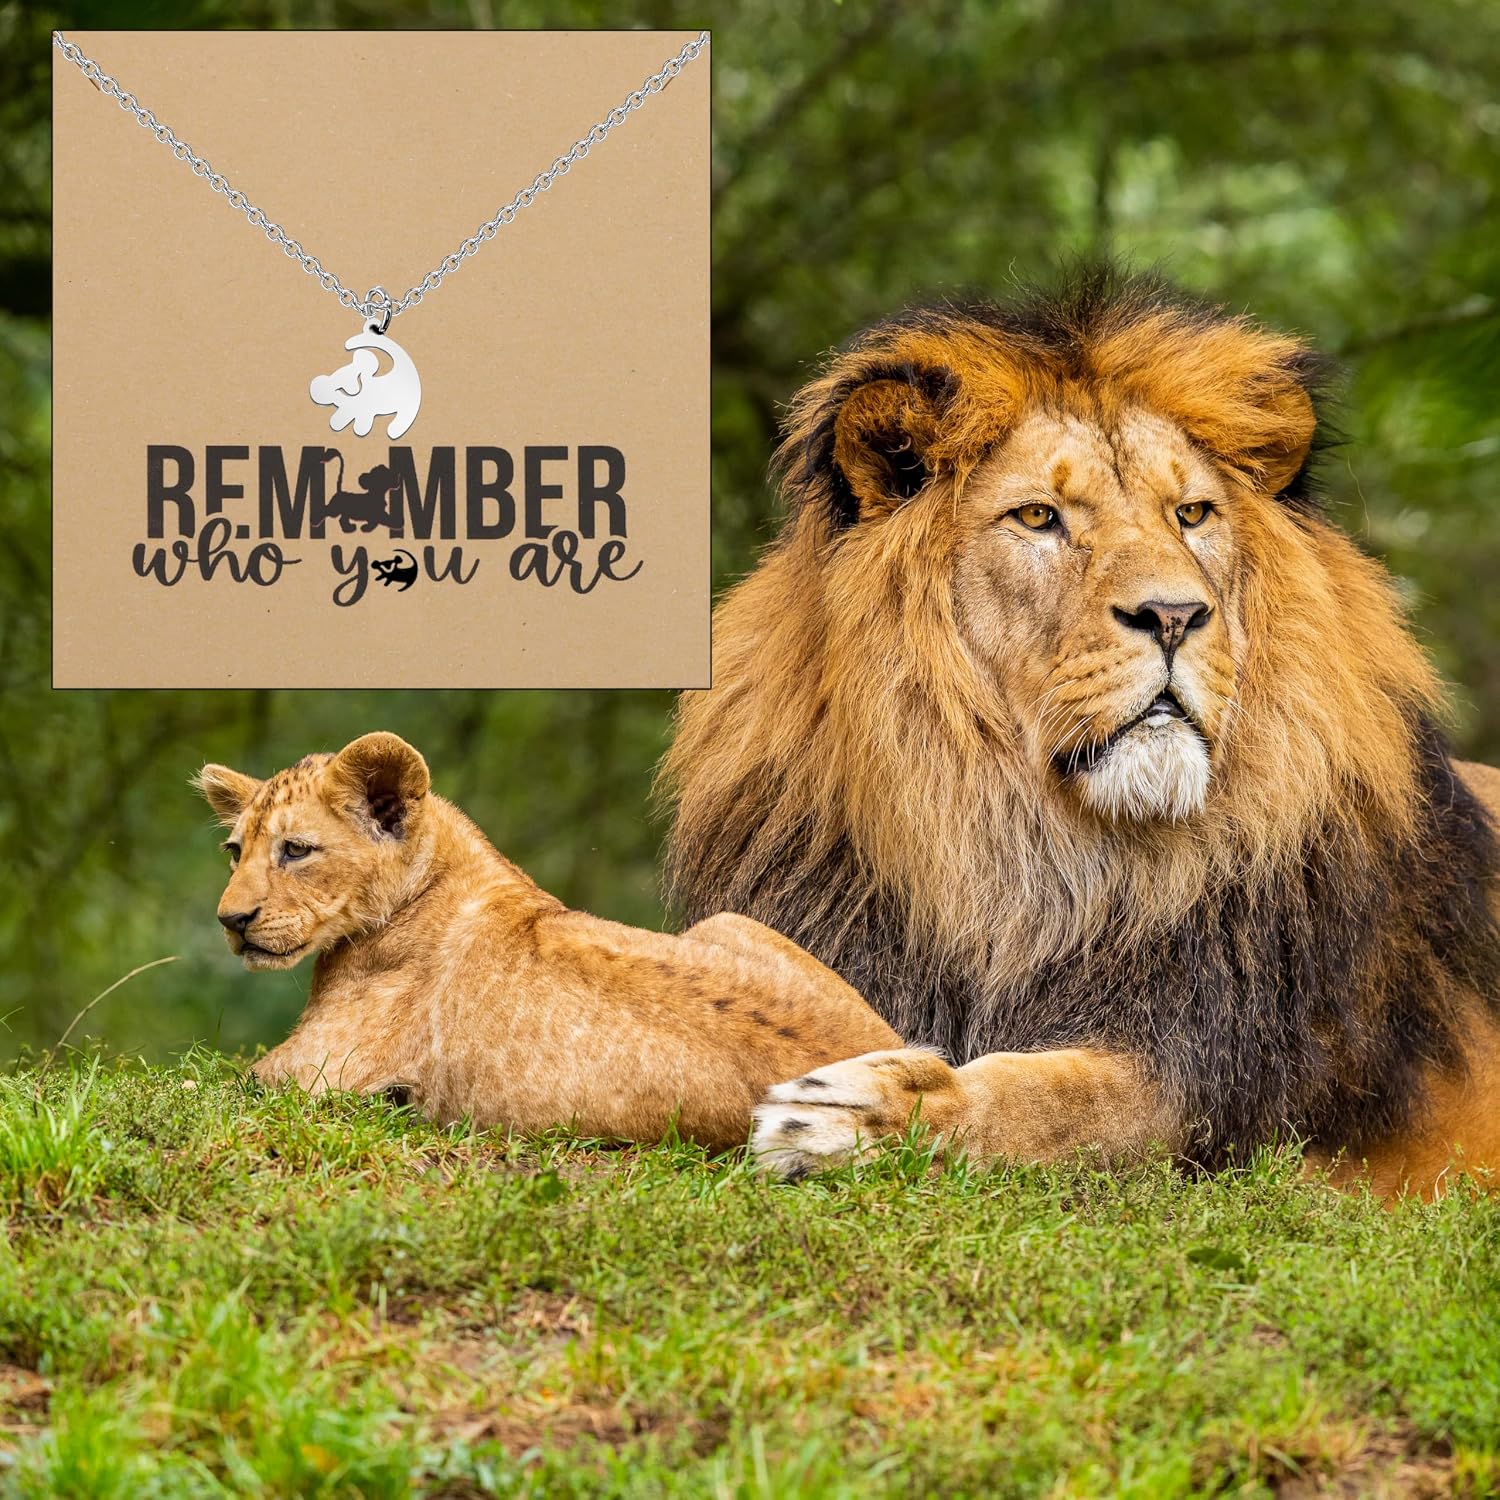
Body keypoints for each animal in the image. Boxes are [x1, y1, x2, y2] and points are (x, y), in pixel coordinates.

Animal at [195, 732, 898, 1143]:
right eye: (234, 852)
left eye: (295, 850)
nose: (230, 920)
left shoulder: (310, 1073)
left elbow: (207, 1086)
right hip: (725, 921)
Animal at [662, 266, 1500, 1196]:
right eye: (1039, 518)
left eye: (1192, 513)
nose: (1174, 615)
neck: (1039, 862)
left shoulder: (1213, 1082)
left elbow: (1054, 1101)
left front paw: (865, 1113)